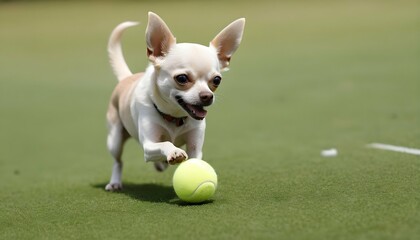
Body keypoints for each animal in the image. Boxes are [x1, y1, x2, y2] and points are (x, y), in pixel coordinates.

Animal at [104, 12, 246, 191]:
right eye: (182, 78)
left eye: (217, 80)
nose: (207, 96)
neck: (175, 117)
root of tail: (127, 78)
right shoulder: (149, 145)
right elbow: (165, 143)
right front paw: (174, 152)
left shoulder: (195, 147)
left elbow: (193, 159)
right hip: (115, 139)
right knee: (118, 161)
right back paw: (115, 182)